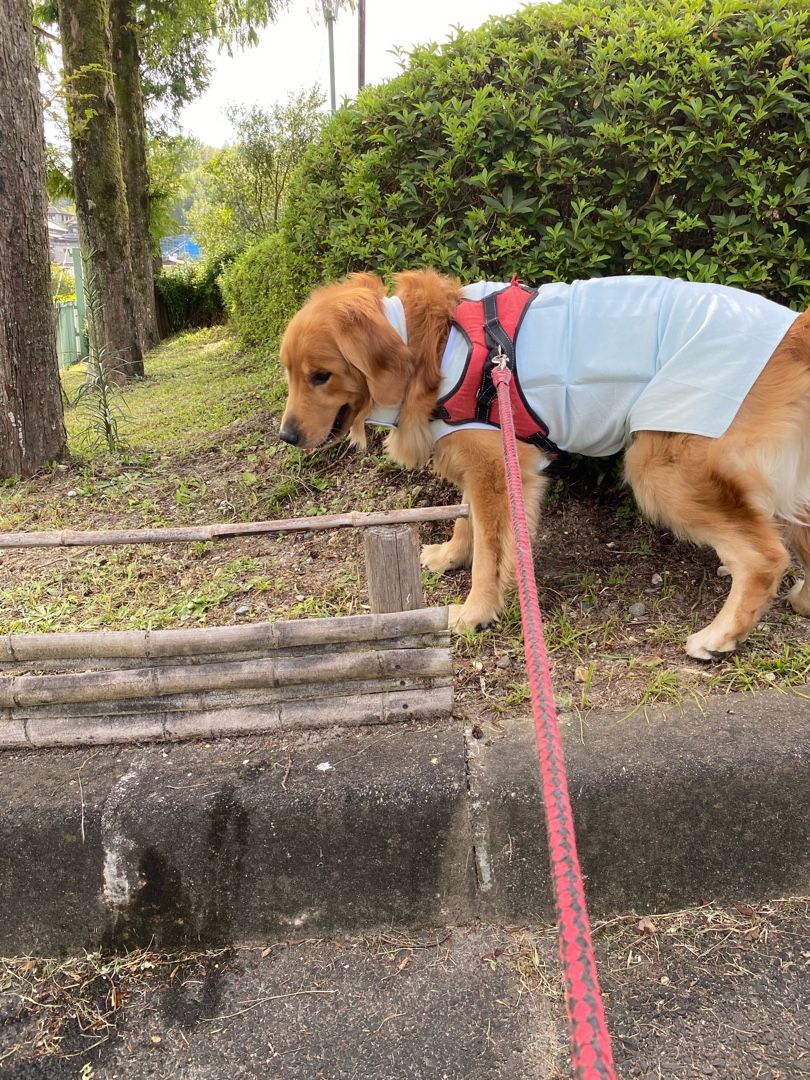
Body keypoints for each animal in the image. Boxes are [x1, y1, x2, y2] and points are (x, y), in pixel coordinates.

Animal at [278, 270, 810, 656]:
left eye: (321, 376)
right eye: (290, 373)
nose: (286, 436)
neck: (429, 348)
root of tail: (794, 328)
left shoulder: (498, 466)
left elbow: (490, 551)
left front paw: (475, 611)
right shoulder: (482, 458)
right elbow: (469, 520)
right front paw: (450, 555)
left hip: (662, 465)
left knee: (764, 556)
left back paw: (719, 637)